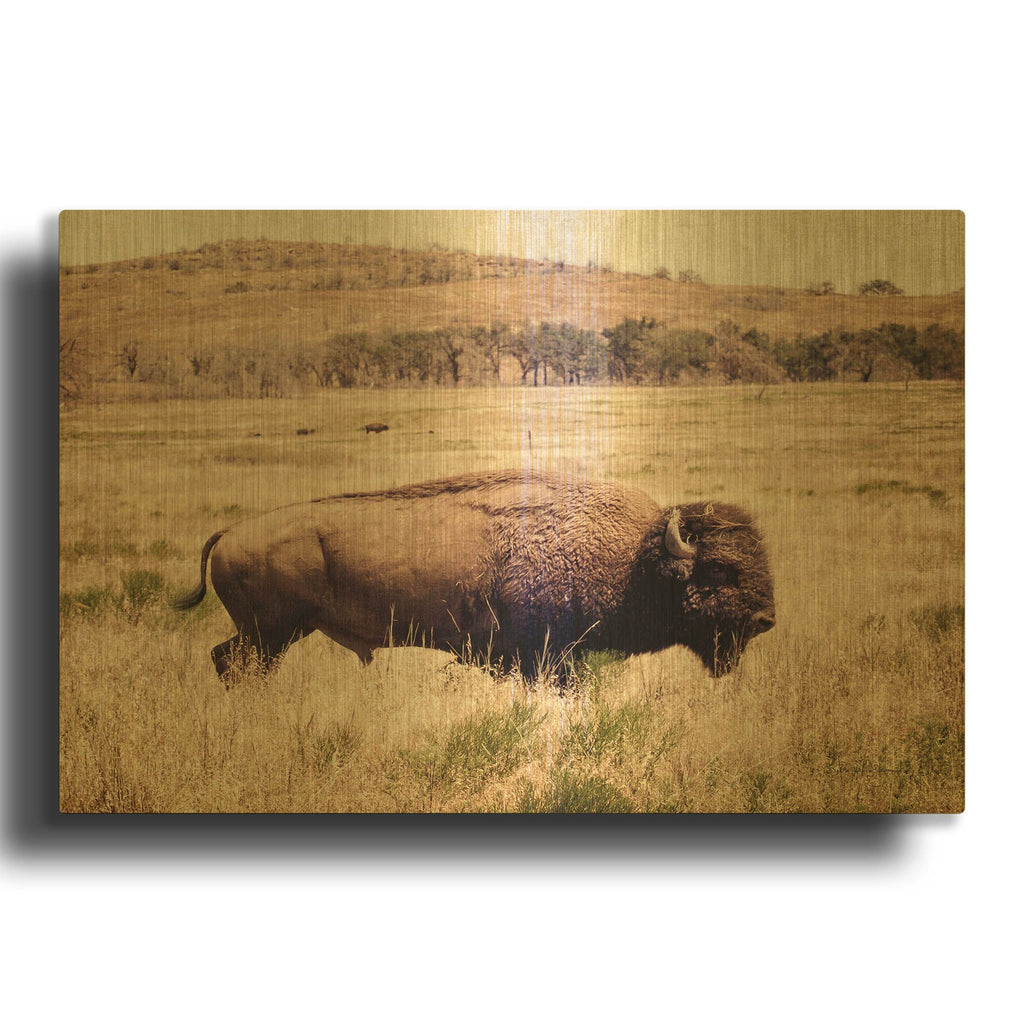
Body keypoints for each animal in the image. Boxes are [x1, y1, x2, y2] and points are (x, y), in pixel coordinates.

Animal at [173, 471, 775, 680]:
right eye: (719, 569)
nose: (767, 619)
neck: (634, 560)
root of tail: (230, 533)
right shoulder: (542, 657)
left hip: (269, 635)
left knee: (226, 660)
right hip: (270, 634)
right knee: (233, 663)